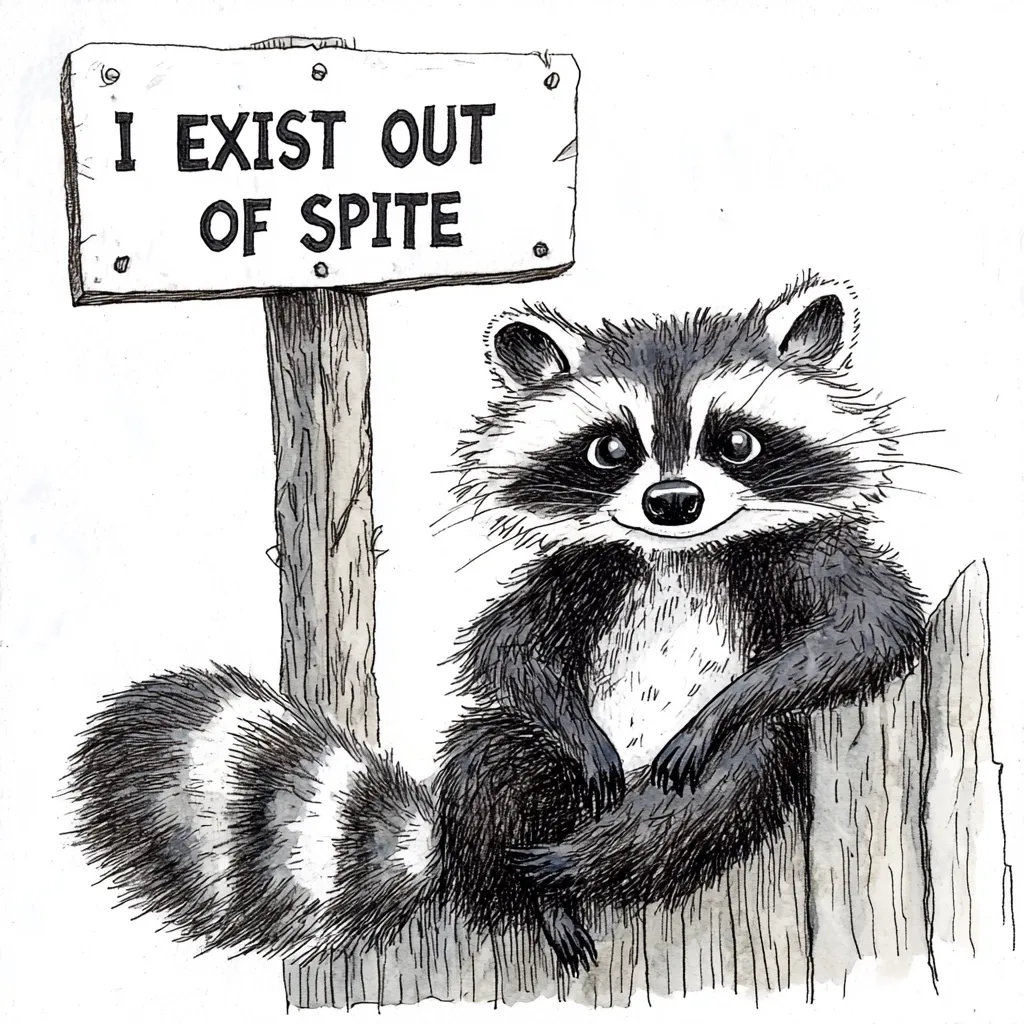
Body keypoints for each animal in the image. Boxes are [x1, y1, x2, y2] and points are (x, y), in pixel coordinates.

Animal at [66, 272, 925, 975]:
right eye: (610, 448)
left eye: (737, 441)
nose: (672, 503)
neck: (676, 556)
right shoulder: (582, 575)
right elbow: (509, 648)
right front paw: (570, 727)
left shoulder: (797, 555)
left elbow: (867, 629)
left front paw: (726, 704)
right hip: (538, 779)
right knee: (492, 756)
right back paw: (526, 879)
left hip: (702, 779)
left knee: (718, 787)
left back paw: (582, 859)